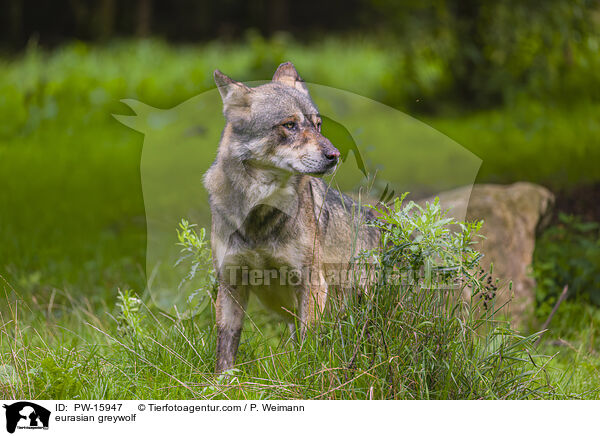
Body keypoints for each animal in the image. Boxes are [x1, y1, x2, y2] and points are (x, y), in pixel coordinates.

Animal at [203, 62, 380, 372]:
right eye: (289, 125)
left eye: (318, 125)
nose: (334, 155)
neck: (260, 214)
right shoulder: (230, 282)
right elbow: (225, 349)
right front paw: (222, 382)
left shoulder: (311, 284)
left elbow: (309, 346)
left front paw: (306, 376)